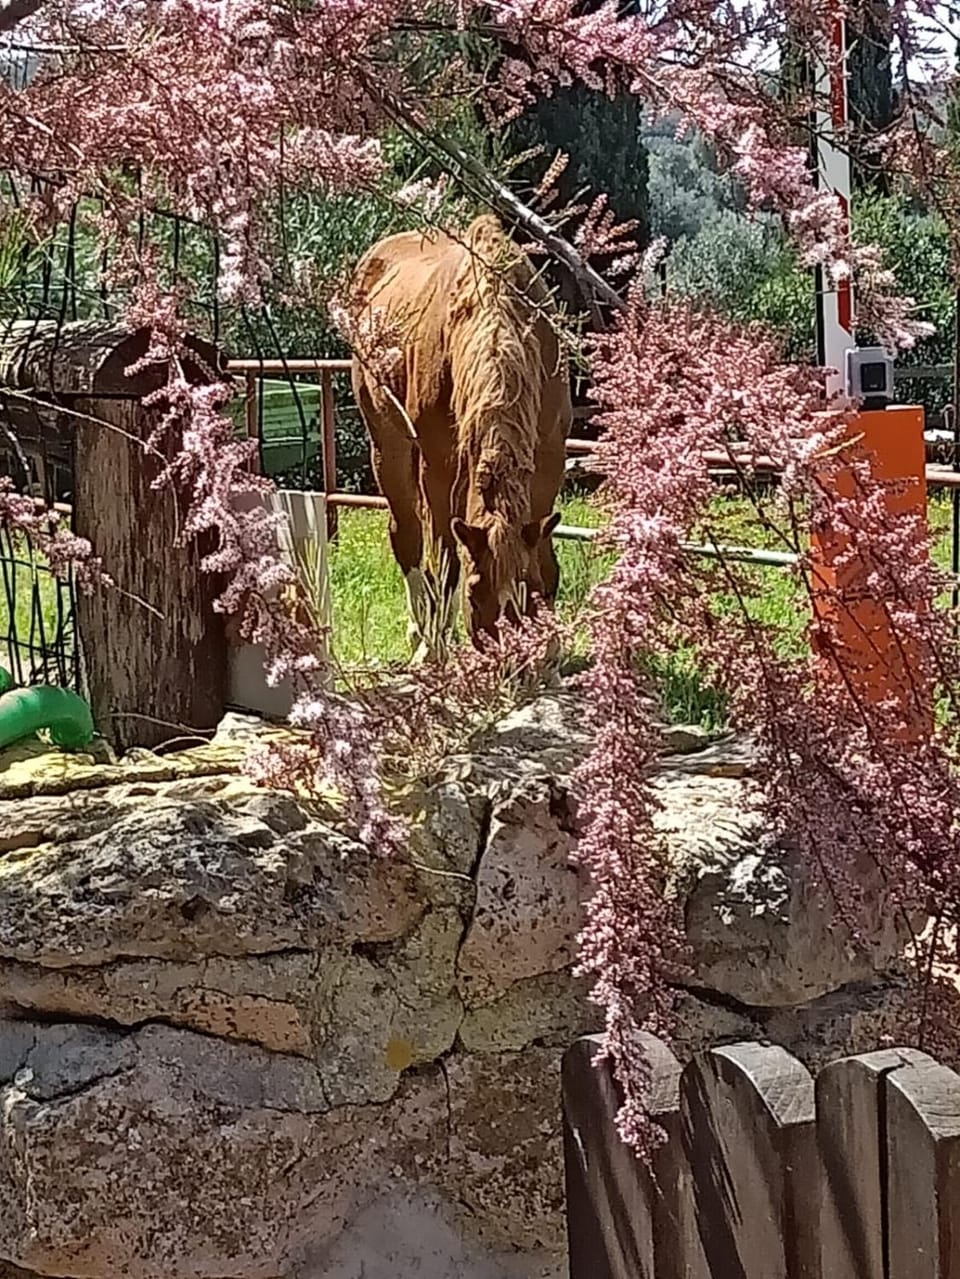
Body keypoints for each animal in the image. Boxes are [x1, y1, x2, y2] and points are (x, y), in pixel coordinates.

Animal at [348, 214, 572, 654]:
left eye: (529, 591)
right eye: (475, 595)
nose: (510, 658)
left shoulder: (549, 458)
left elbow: (544, 550)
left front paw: (552, 648)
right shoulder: (439, 467)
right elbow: (448, 557)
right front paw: (434, 644)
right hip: (389, 445)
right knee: (408, 534)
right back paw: (423, 632)